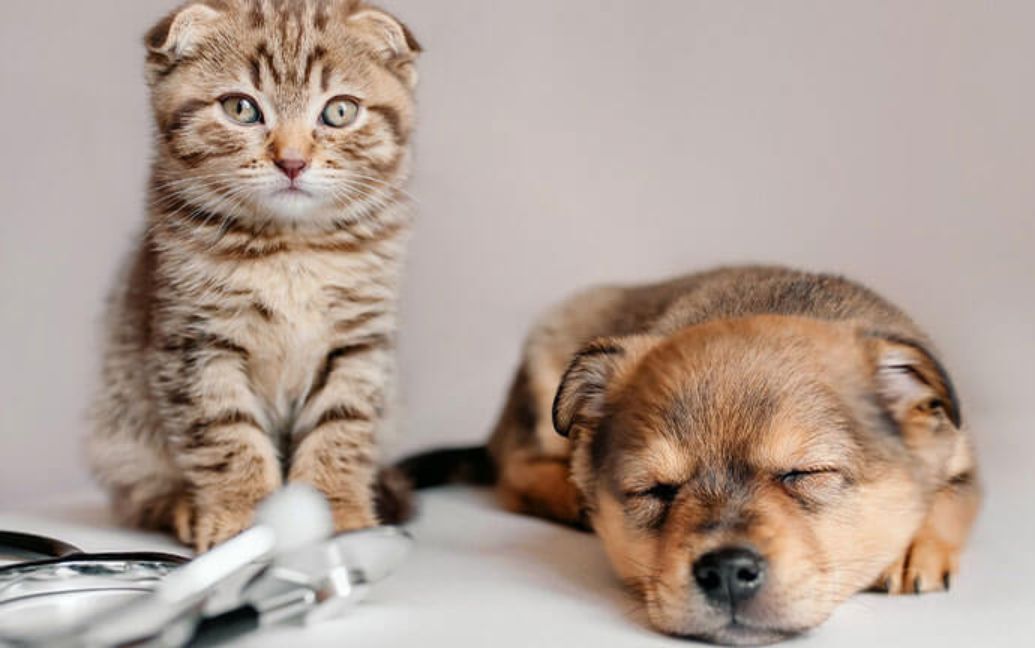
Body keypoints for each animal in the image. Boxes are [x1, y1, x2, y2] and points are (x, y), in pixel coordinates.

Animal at [89, 0, 420, 546]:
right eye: (241, 108)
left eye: (340, 111)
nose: (292, 161)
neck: (291, 248)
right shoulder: (195, 343)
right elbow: (224, 431)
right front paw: (243, 517)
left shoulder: (359, 341)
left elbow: (342, 427)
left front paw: (339, 513)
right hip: (119, 428)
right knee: (136, 492)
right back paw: (180, 504)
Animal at [399, 264, 981, 641]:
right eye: (655, 490)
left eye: (805, 473)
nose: (725, 572)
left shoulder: (962, 458)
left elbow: (952, 498)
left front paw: (912, 548)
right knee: (514, 473)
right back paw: (569, 497)